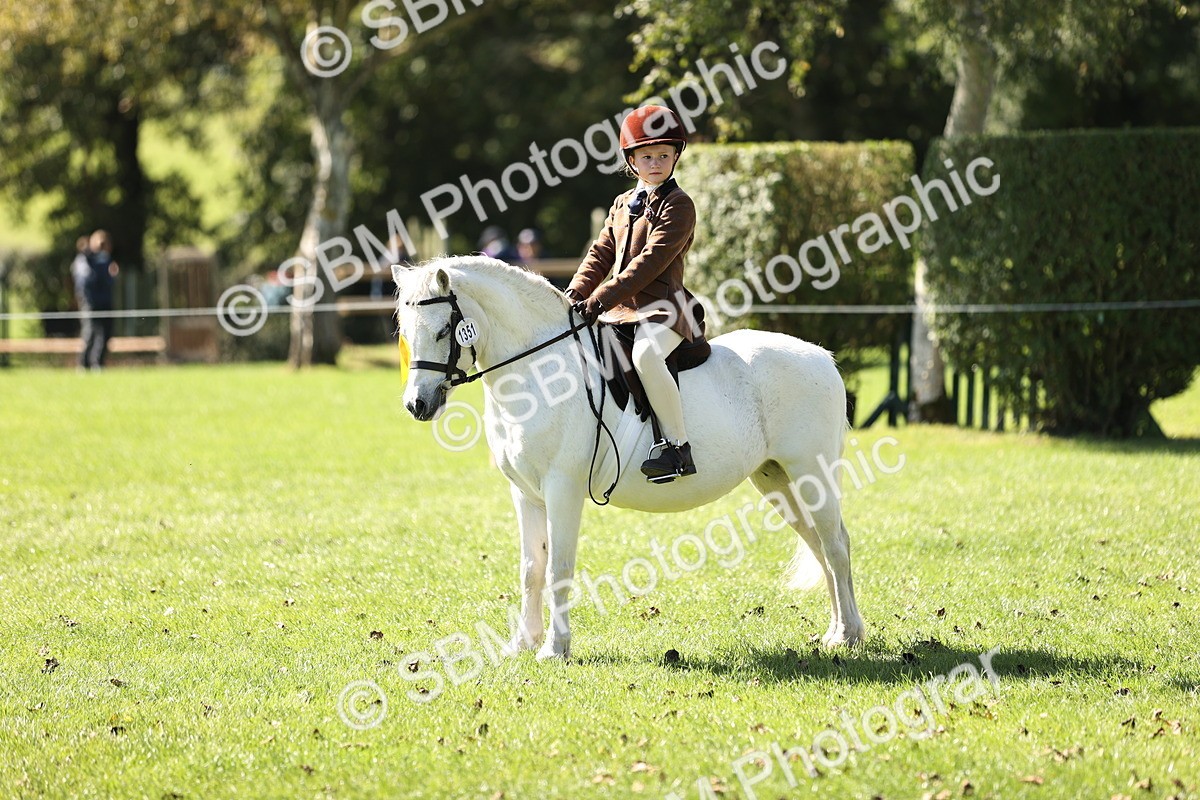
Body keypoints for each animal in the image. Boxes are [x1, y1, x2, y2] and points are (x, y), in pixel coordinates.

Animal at [393, 256, 864, 660]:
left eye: (442, 331)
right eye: (406, 333)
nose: (417, 405)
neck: (539, 371)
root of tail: (822, 356)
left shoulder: (562, 489)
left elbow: (558, 567)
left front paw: (555, 649)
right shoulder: (525, 494)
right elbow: (531, 568)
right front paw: (522, 644)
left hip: (811, 473)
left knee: (835, 545)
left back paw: (847, 635)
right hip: (777, 479)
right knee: (819, 545)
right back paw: (835, 631)